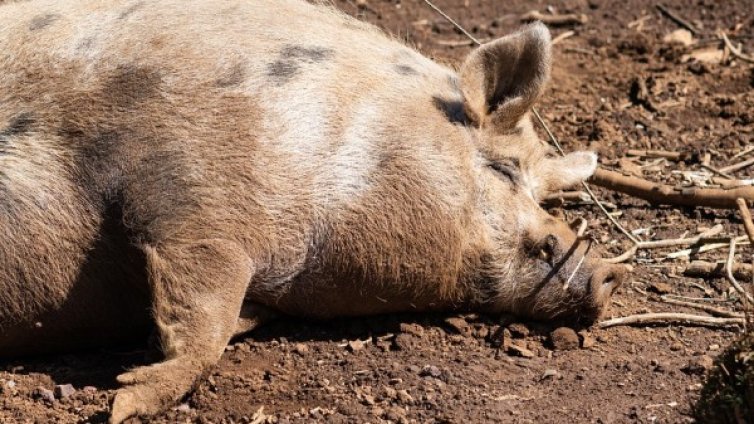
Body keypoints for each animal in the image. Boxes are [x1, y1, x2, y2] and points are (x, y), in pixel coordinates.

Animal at [0, 0, 624, 420]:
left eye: (544, 194)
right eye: (503, 170)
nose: (608, 273)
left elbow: (219, 318)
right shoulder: (187, 189)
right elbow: (204, 310)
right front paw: (123, 402)